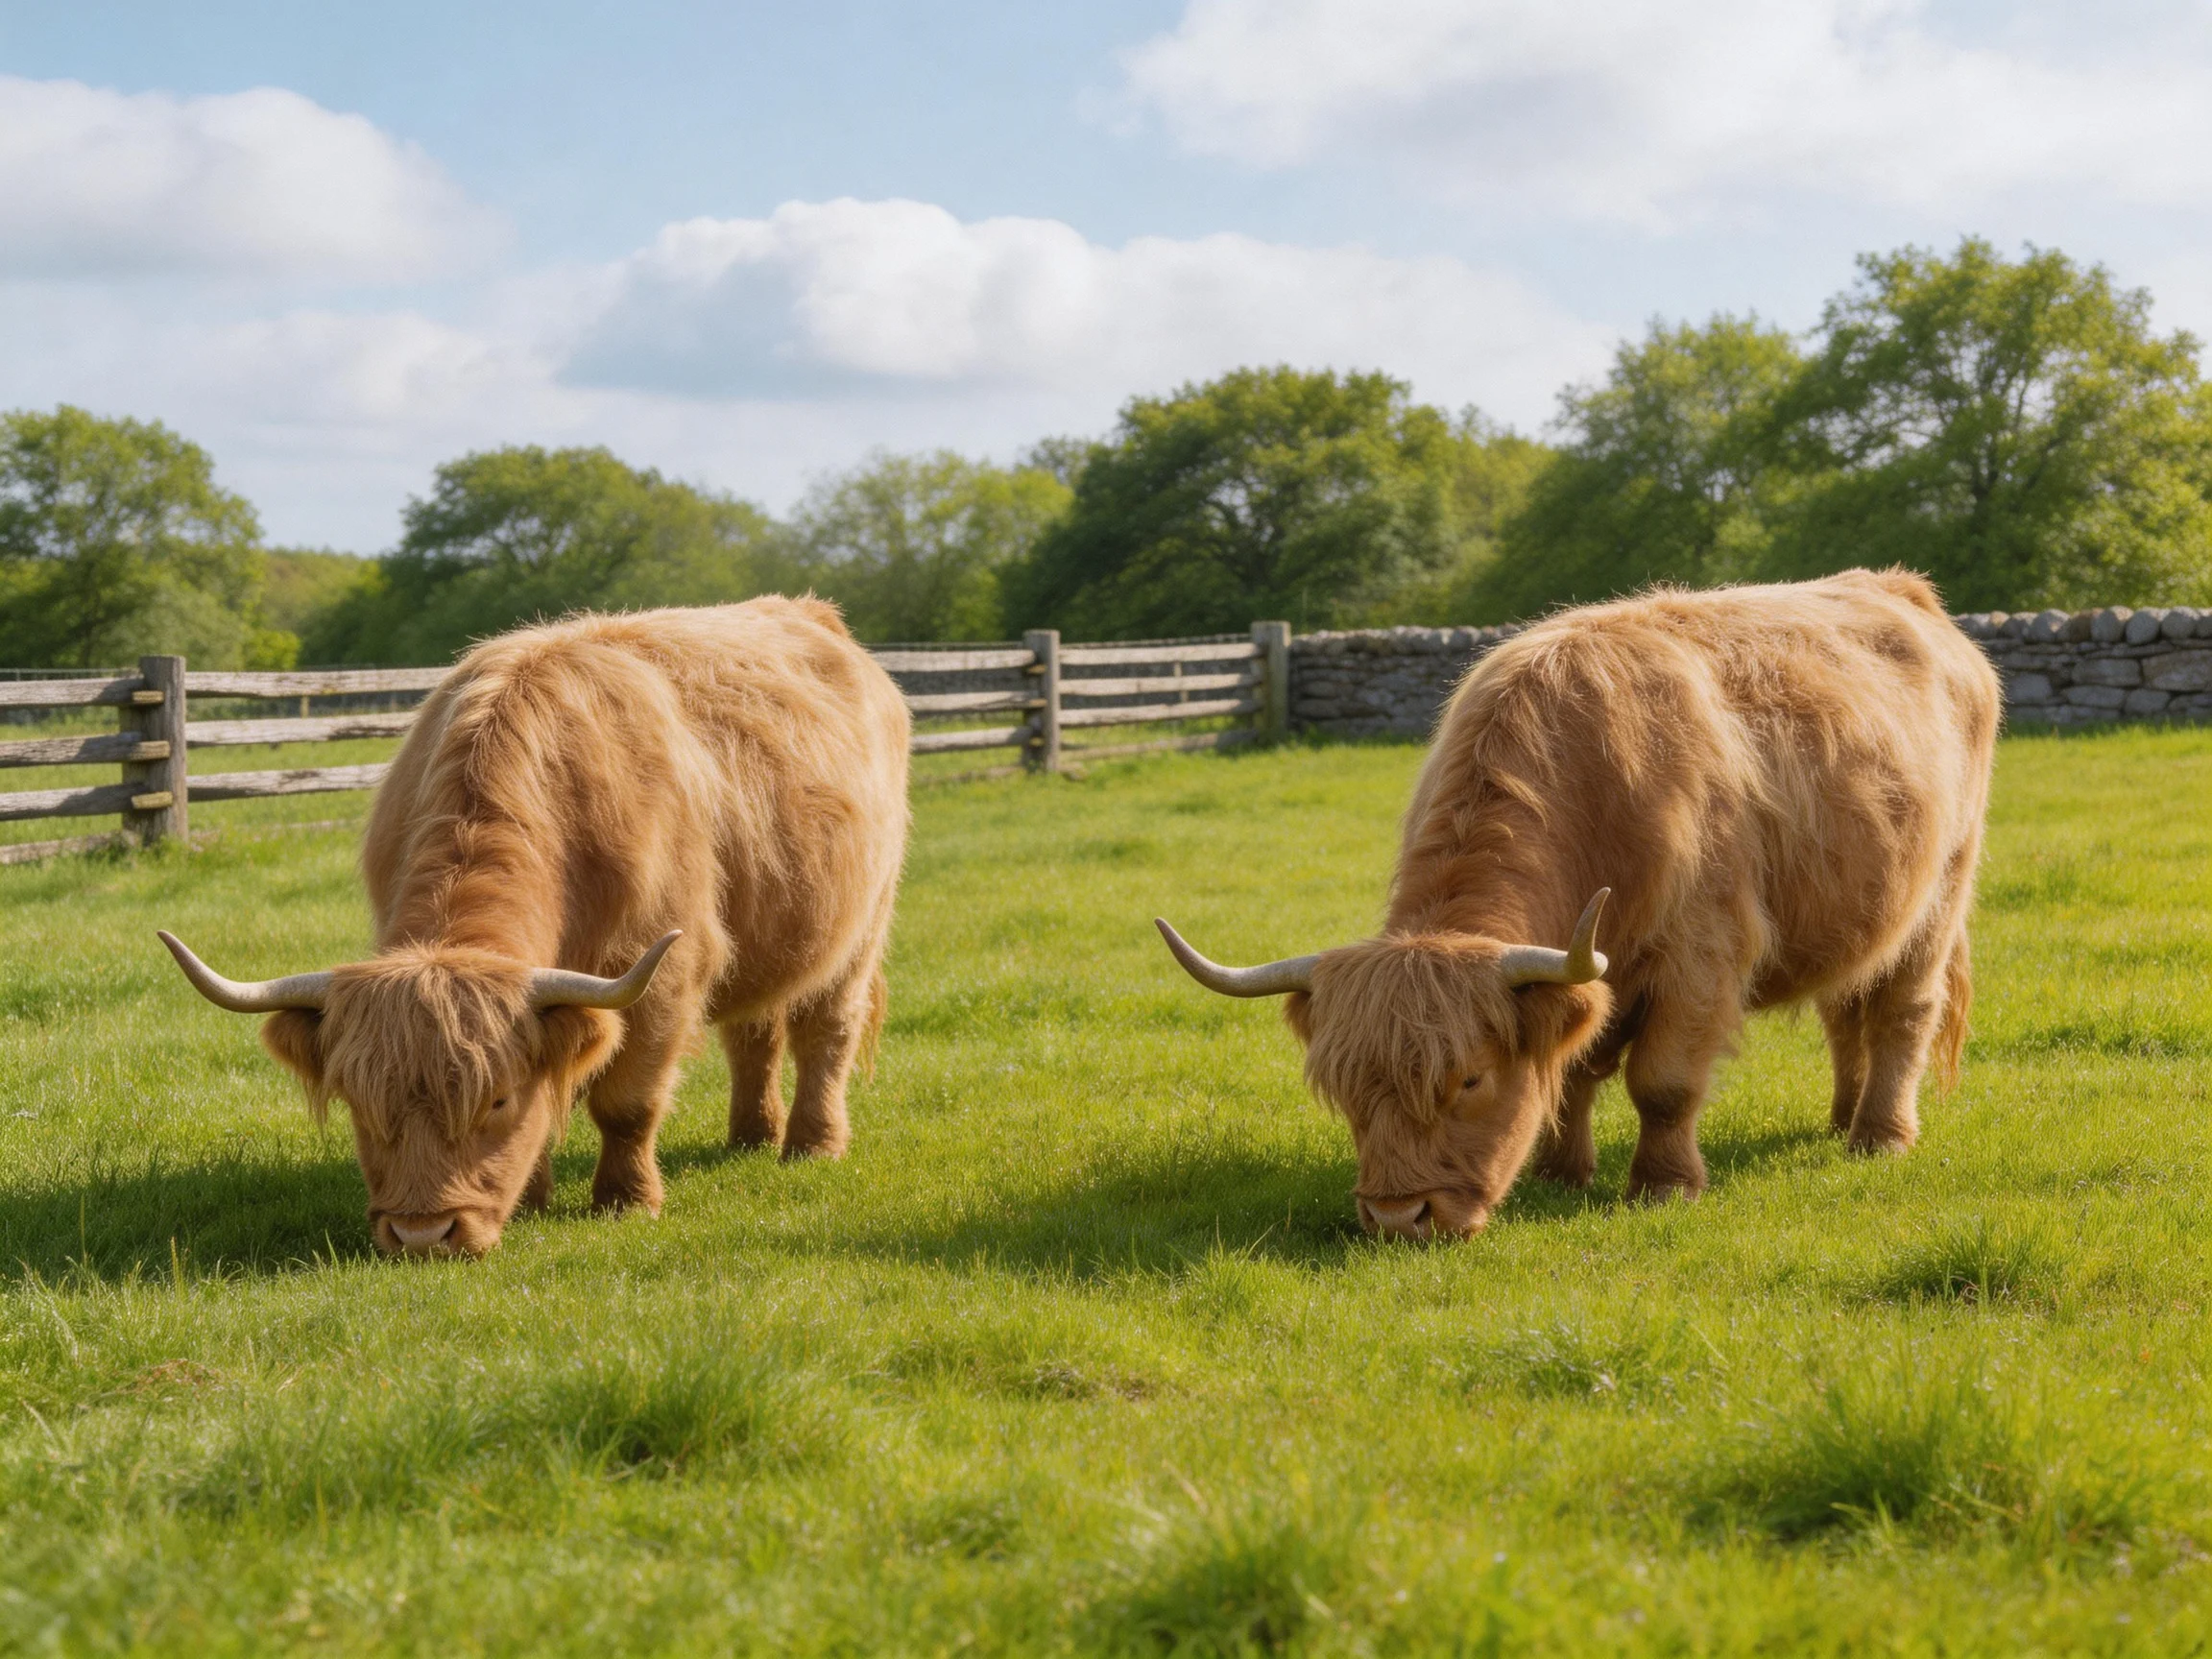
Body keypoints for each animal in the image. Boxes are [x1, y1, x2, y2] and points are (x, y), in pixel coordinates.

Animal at [160, 597, 910, 1257]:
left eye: (497, 1100)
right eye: (360, 1104)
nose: (422, 1236)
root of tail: (813, 613)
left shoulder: (666, 975)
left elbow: (628, 1102)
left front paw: (627, 1202)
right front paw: (530, 1202)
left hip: (862, 927)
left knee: (825, 1031)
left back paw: (811, 1146)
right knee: (753, 1033)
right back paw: (751, 1138)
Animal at [1157, 570, 1999, 1240]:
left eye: (1470, 1080)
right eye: (1344, 1088)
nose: (1398, 1218)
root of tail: (1900, 587)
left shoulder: (1701, 953)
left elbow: (1663, 1081)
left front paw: (1664, 1186)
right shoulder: (1592, 964)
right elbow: (1579, 1065)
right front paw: (1561, 1172)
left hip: (1942, 891)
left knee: (1902, 1012)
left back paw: (1880, 1136)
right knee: (1845, 1006)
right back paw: (1841, 1118)